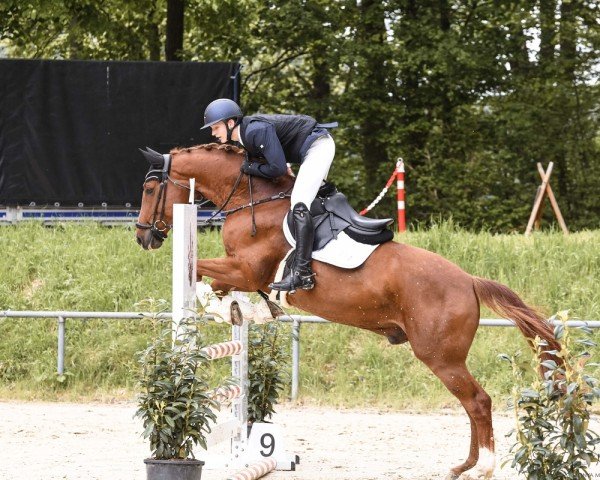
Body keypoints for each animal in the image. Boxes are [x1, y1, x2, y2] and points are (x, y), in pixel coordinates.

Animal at [135, 143, 556, 480]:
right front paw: (239, 309)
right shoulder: (243, 273)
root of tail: (469, 280)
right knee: (470, 405)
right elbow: (223, 288)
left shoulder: (245, 269)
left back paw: (482, 468)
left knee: (478, 402)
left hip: (440, 356)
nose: (143, 236)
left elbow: (201, 272)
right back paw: (462, 466)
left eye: (150, 188)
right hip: (446, 358)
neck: (251, 199)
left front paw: (219, 305)